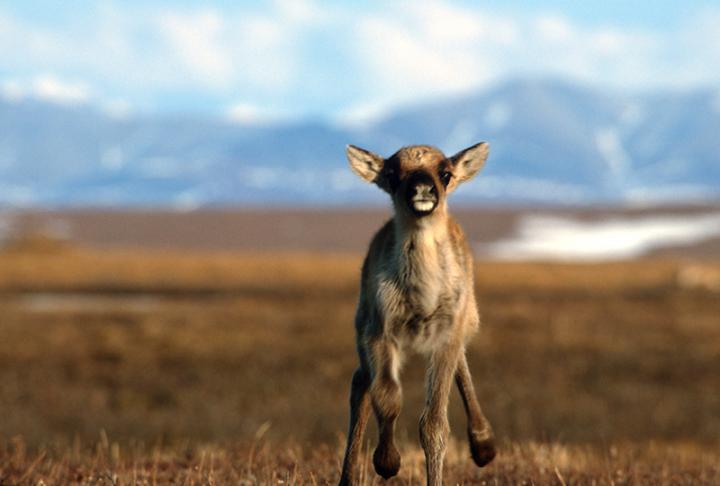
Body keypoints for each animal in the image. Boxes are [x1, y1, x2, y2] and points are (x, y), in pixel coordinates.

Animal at [338, 142, 496, 484]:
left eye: (445, 173)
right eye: (392, 173)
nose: (422, 189)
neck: (422, 299)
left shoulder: (446, 337)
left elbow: (434, 425)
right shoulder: (380, 332)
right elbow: (387, 397)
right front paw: (386, 461)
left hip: (463, 322)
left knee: (461, 368)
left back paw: (483, 445)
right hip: (362, 327)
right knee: (360, 383)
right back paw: (348, 477)